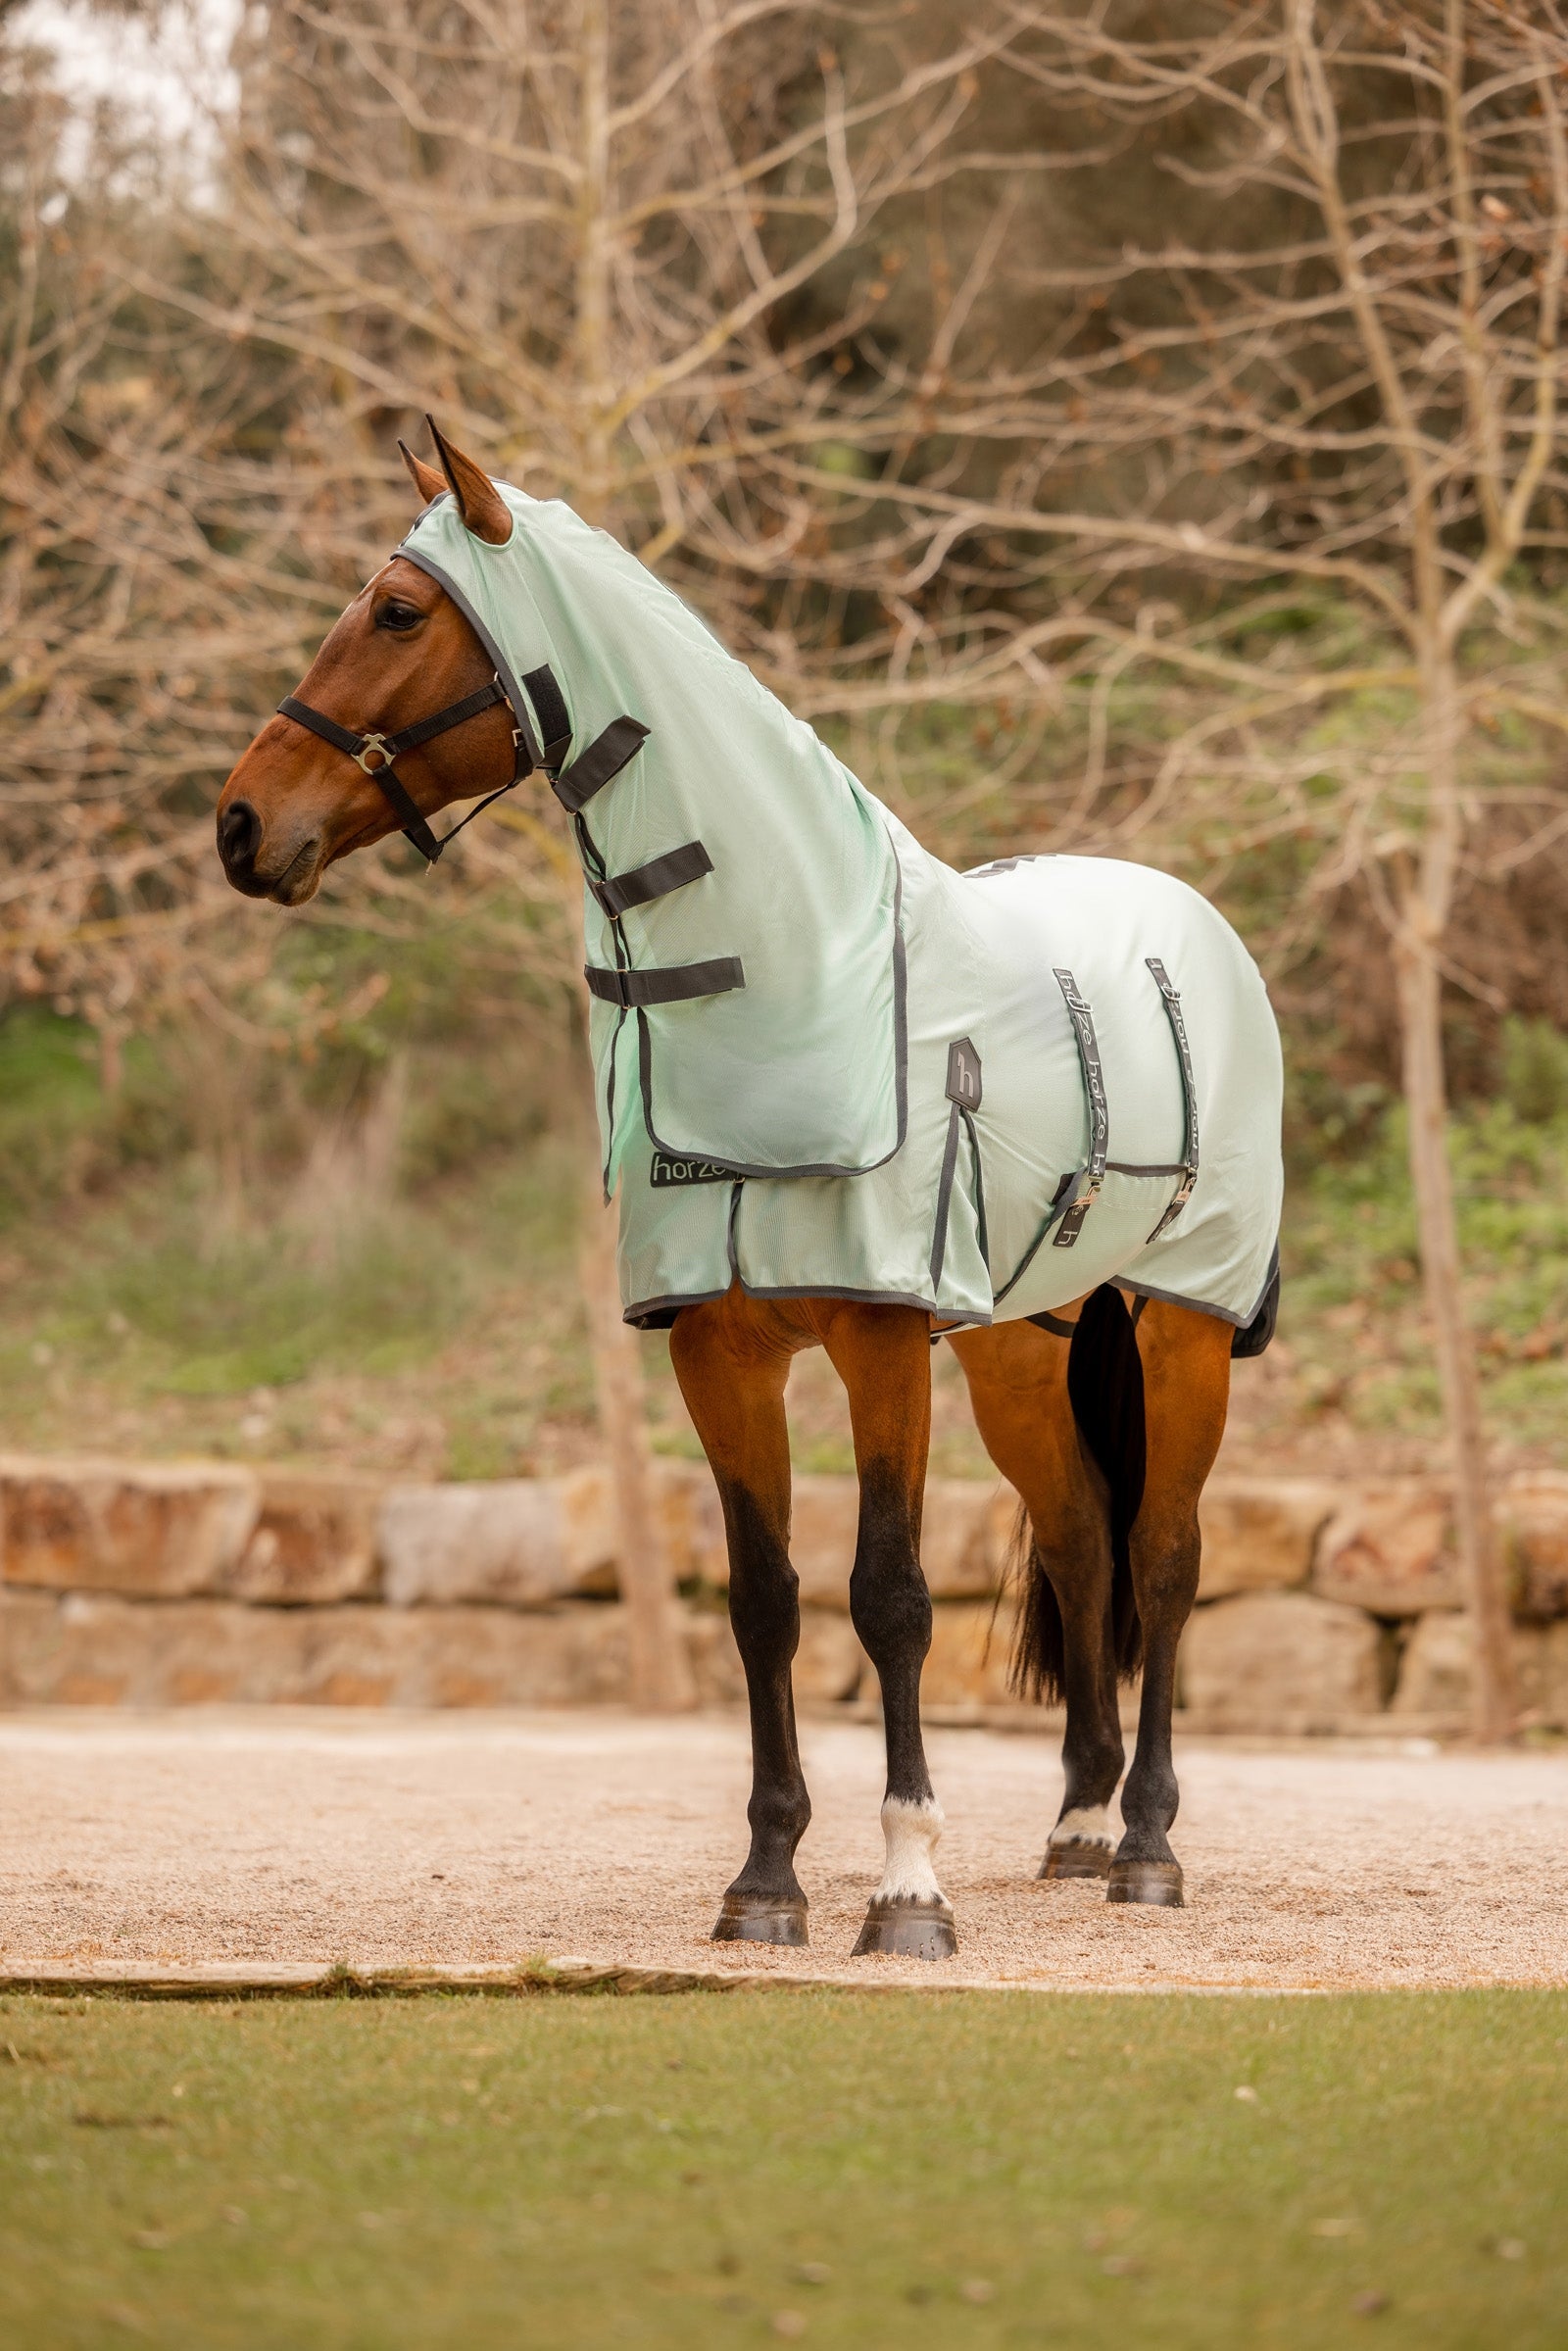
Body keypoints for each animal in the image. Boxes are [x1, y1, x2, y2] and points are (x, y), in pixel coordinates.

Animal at [216, 422, 1282, 1961]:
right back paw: (1079, 1825)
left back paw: (1145, 1843)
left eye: (401, 611)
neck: (786, 988)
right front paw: (766, 1879)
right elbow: (762, 1600)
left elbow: (888, 1597)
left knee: (1163, 1557)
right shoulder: (719, 1350)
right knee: (1084, 1540)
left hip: (1183, 1325)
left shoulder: (881, 1340)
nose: (241, 825)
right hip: (1022, 1350)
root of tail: (1194, 922)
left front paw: (906, 1889)